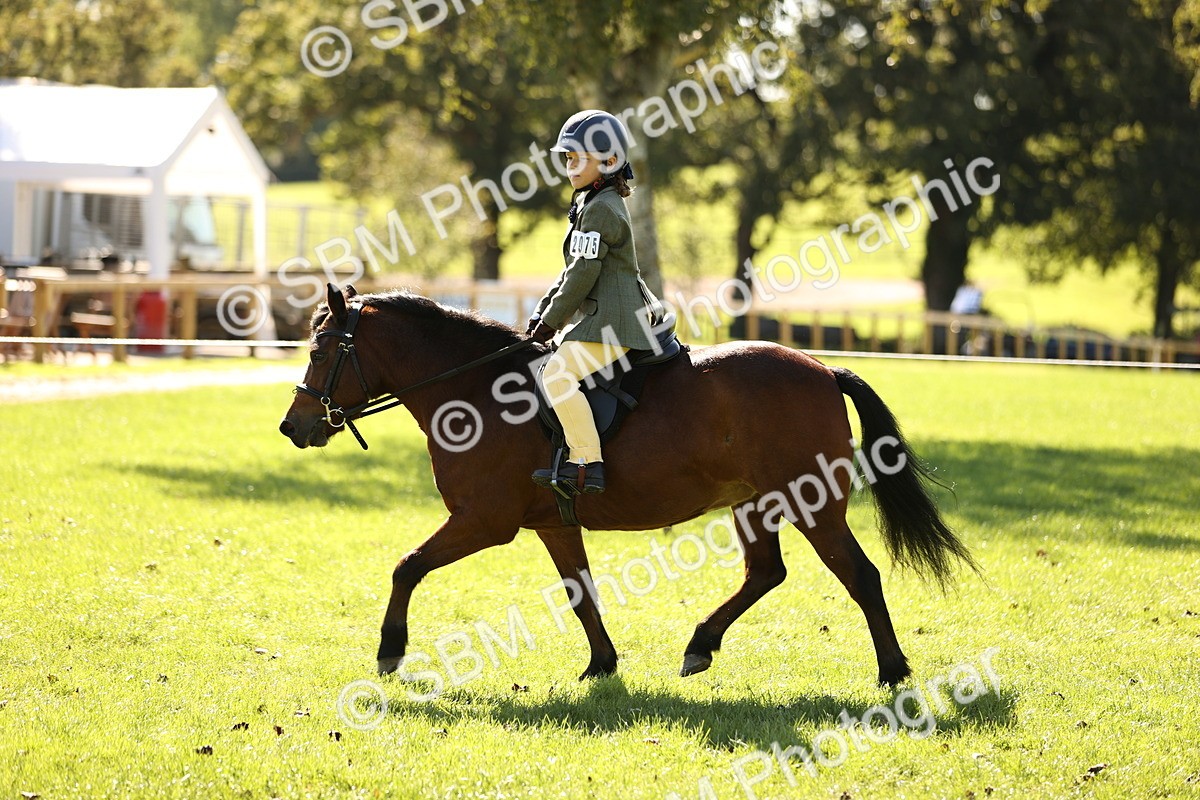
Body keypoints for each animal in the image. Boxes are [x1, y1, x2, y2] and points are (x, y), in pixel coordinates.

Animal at [279, 284, 976, 687]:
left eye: (319, 351)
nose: (293, 425)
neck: (473, 390)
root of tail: (823, 369)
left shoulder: (483, 521)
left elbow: (406, 567)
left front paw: (389, 651)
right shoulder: (552, 523)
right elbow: (581, 594)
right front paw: (602, 664)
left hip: (814, 504)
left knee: (859, 575)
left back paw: (891, 672)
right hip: (756, 503)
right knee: (765, 573)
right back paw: (700, 646)